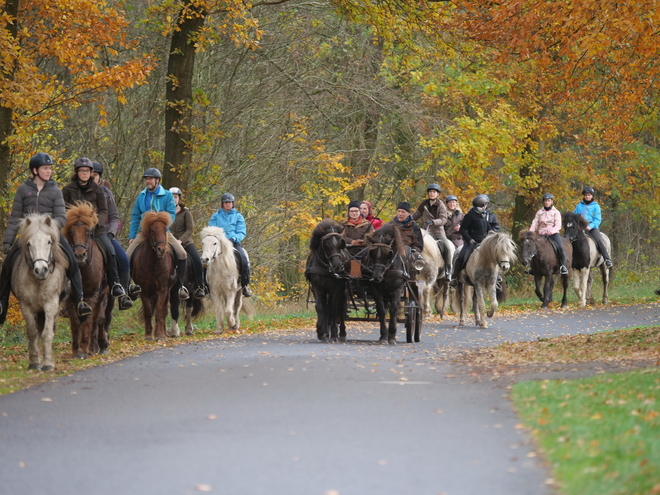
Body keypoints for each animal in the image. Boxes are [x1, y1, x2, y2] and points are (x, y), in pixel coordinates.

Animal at [10, 214, 68, 372]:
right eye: (29, 243)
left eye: (49, 241)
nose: (41, 270)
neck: (38, 281)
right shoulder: (26, 307)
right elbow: (32, 333)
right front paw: (34, 362)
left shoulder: (51, 305)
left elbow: (47, 333)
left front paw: (48, 363)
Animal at [62, 202, 112, 360]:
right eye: (70, 232)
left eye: (88, 232)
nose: (79, 255)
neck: (82, 270)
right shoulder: (71, 299)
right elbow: (75, 323)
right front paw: (75, 351)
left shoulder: (91, 296)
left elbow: (88, 322)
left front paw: (83, 350)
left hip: (103, 296)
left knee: (99, 319)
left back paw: (100, 346)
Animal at [130, 211, 177, 342]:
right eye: (152, 230)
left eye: (165, 229)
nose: (162, 249)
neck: (153, 265)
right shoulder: (144, 291)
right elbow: (148, 312)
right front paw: (148, 335)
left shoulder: (162, 290)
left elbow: (159, 311)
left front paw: (160, 335)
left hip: (167, 290)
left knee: (164, 310)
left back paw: (163, 332)